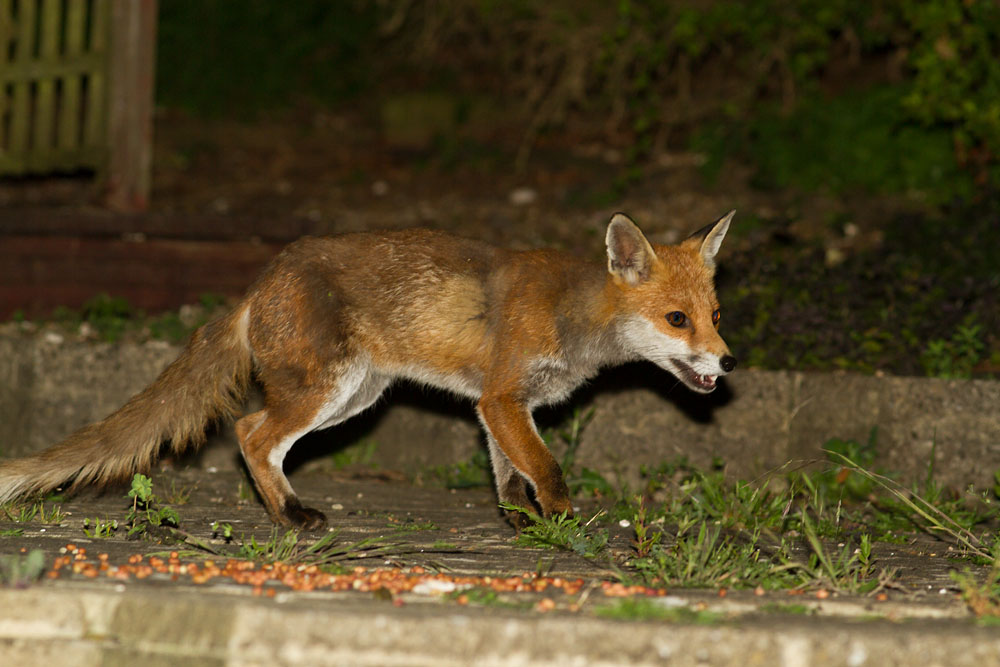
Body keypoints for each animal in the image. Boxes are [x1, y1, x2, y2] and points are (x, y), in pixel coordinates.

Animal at [0, 211, 736, 529]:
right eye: (676, 319)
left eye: (716, 313)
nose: (728, 361)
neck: (574, 317)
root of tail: (261, 280)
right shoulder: (503, 396)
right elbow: (547, 469)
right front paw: (562, 525)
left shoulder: (500, 405)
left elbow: (508, 472)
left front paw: (520, 521)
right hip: (326, 390)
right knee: (249, 433)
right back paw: (290, 514)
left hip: (355, 397)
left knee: (256, 433)